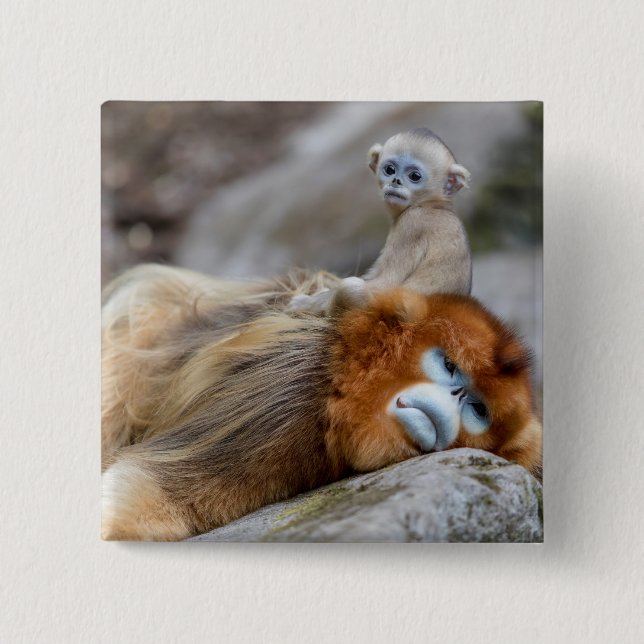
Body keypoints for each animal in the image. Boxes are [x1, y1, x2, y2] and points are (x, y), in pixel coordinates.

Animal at [288, 128, 472, 315]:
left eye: (414, 176)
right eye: (390, 169)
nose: (396, 181)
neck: (433, 205)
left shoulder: (412, 224)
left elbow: (384, 284)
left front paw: (308, 303)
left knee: (350, 287)